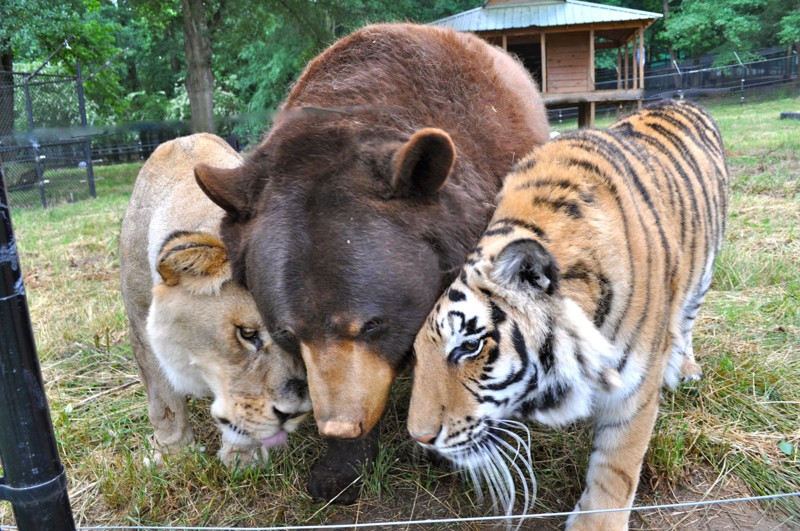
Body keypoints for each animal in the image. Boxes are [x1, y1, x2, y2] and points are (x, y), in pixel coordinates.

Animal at [410, 101, 728, 531]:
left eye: (470, 346)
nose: (419, 438)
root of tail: (682, 100)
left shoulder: (635, 387)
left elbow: (616, 466)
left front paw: (597, 523)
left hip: (703, 274)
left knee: (687, 321)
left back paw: (687, 368)